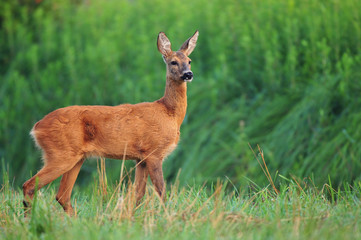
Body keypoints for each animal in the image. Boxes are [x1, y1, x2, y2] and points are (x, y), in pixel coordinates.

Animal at [21, 30, 200, 216]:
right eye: (173, 62)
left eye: (189, 61)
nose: (188, 74)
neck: (169, 113)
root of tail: (36, 128)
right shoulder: (154, 152)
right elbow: (161, 191)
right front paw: (168, 216)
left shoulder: (140, 158)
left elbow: (138, 194)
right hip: (60, 154)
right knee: (29, 185)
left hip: (76, 157)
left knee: (62, 195)